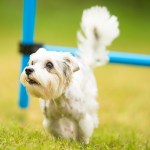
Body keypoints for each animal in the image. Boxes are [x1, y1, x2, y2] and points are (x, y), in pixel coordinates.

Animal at [20, 6, 118, 144]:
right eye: (33, 62)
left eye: (49, 64)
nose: (28, 70)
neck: (58, 98)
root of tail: (86, 61)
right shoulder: (52, 120)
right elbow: (58, 131)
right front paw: (65, 139)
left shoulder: (81, 118)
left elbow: (82, 132)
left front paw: (81, 143)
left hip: (90, 99)